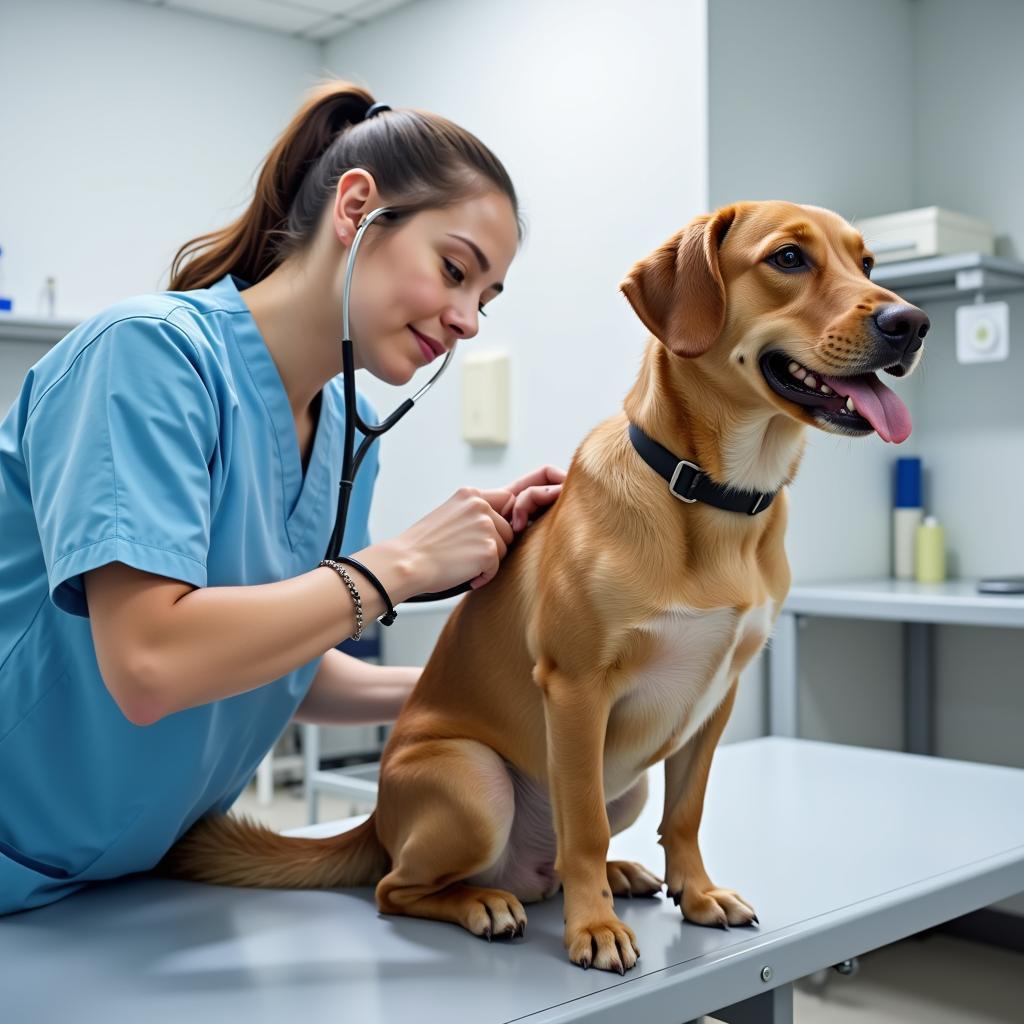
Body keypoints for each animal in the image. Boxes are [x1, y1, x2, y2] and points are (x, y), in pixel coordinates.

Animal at [159, 199, 929, 974]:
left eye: (867, 263)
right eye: (788, 259)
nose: (912, 323)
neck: (712, 497)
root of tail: (376, 820)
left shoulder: (718, 698)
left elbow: (686, 813)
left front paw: (697, 892)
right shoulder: (577, 689)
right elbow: (582, 824)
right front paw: (595, 927)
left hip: (629, 783)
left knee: (552, 859)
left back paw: (615, 875)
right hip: (476, 782)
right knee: (399, 887)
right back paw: (487, 903)